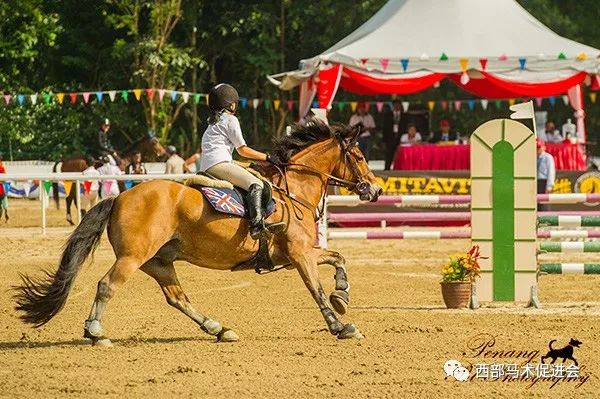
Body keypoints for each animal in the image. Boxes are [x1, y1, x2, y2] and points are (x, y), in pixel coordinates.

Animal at [16, 123, 382, 346]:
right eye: (359, 156)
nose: (375, 190)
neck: (293, 190)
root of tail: (120, 196)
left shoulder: (299, 253)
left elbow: (338, 258)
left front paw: (342, 295)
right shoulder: (300, 254)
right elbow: (316, 290)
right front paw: (341, 325)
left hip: (159, 262)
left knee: (178, 298)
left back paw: (219, 328)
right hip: (133, 257)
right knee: (106, 285)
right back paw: (95, 332)